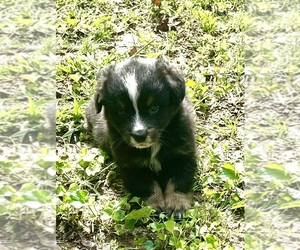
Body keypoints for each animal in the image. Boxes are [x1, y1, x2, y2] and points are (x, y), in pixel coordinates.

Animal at [85, 57, 197, 218]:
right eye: (121, 111)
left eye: (154, 108)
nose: (139, 135)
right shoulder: (131, 165)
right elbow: (146, 186)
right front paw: (154, 205)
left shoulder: (183, 154)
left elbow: (179, 180)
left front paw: (177, 204)